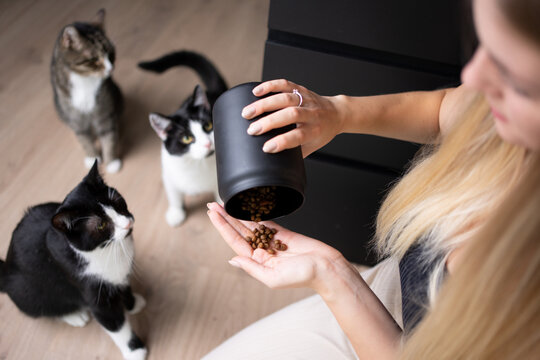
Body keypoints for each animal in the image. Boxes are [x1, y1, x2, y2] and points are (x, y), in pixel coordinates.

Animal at [0, 162, 147, 360]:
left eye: (118, 201)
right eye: (100, 225)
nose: (127, 223)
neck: (107, 250)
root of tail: (6, 271)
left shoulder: (122, 273)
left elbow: (124, 286)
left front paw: (133, 303)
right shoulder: (91, 290)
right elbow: (115, 324)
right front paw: (135, 350)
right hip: (26, 291)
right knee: (44, 306)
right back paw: (74, 315)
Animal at [50, 10, 123, 174]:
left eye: (111, 54)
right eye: (94, 59)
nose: (111, 69)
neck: (85, 80)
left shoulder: (104, 110)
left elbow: (109, 136)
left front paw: (111, 162)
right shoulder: (74, 116)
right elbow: (84, 139)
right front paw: (92, 157)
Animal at [138, 50, 227, 226]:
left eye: (208, 126)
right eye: (186, 138)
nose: (207, 144)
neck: (199, 164)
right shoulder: (169, 173)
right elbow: (174, 195)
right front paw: (176, 213)